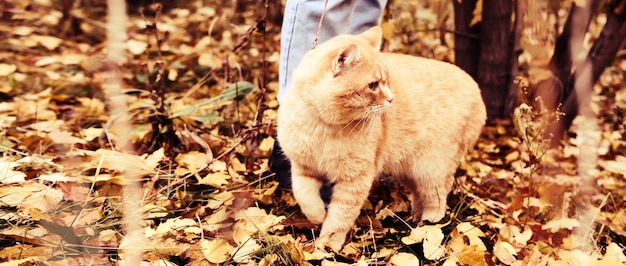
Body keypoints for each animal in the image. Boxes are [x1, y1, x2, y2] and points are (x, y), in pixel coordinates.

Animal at [276, 26, 486, 250]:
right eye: (373, 85)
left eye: (384, 82)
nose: (391, 99)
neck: (321, 127)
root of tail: (477, 90)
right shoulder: (302, 168)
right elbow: (304, 197)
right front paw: (317, 217)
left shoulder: (354, 181)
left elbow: (340, 217)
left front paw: (329, 243)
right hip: (408, 169)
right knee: (419, 194)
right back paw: (414, 217)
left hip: (430, 169)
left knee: (437, 198)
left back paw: (427, 226)